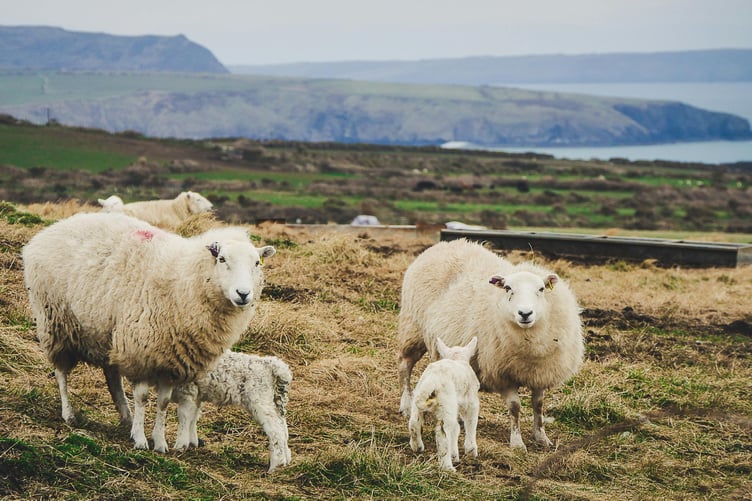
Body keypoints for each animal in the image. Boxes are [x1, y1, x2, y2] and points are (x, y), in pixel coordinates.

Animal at [22, 212, 275, 452]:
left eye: (257, 263)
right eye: (222, 259)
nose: (243, 294)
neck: (185, 281)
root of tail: (48, 231)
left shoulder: (170, 362)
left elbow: (163, 402)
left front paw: (159, 442)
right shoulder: (140, 352)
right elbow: (143, 398)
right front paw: (141, 440)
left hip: (108, 334)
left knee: (112, 376)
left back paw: (126, 417)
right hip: (55, 322)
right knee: (61, 372)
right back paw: (69, 414)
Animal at [397, 238, 584, 451]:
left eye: (541, 289)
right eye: (508, 288)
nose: (525, 313)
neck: (530, 341)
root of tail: (444, 244)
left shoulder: (541, 373)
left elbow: (538, 405)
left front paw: (541, 437)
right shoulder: (503, 374)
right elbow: (515, 407)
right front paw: (517, 443)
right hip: (412, 328)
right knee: (404, 366)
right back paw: (406, 404)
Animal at [408, 337, 480, 471]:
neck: (457, 358)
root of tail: (432, 379)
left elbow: (456, 429)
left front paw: (455, 455)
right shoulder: (471, 403)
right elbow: (471, 423)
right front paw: (471, 450)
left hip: (419, 397)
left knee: (414, 423)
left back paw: (417, 447)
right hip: (447, 403)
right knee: (443, 433)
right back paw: (447, 467)